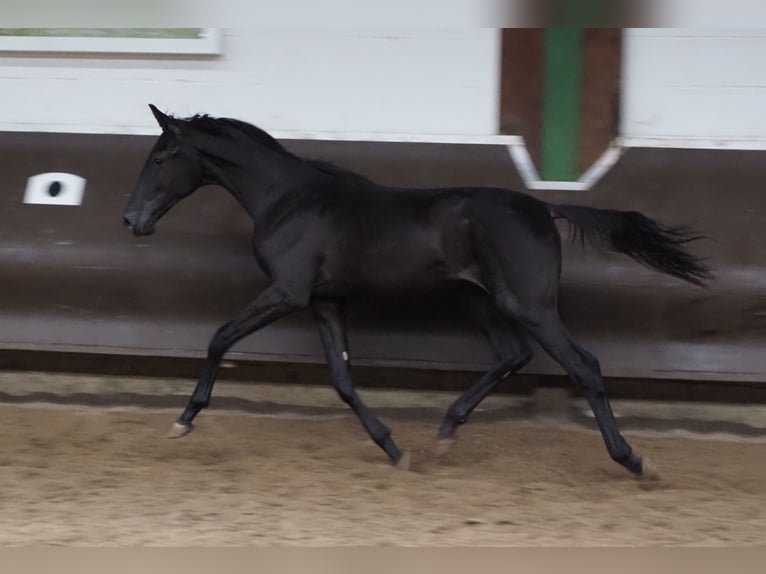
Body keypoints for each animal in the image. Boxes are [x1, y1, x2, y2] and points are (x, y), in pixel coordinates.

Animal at [123, 106, 712, 480]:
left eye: (160, 158)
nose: (131, 220)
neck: (290, 200)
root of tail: (545, 207)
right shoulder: (325, 301)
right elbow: (341, 379)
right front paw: (394, 450)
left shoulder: (288, 292)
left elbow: (220, 338)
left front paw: (183, 421)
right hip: (479, 298)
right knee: (511, 354)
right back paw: (446, 431)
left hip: (529, 304)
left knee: (583, 364)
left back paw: (634, 461)